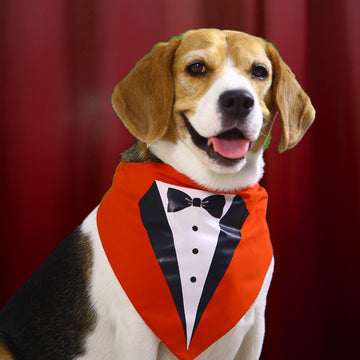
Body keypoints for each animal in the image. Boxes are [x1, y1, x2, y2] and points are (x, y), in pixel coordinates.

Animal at [0, 28, 316, 360]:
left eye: (259, 72)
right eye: (197, 67)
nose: (239, 100)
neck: (203, 196)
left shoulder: (254, 328)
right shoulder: (137, 329)